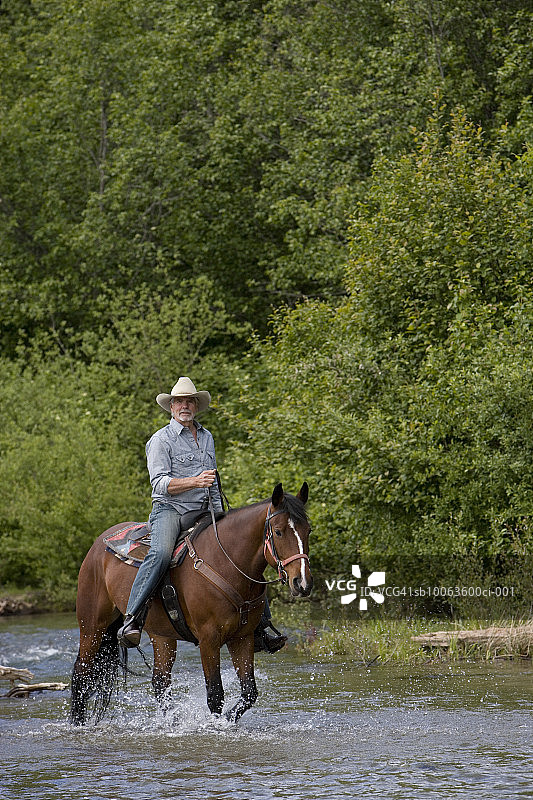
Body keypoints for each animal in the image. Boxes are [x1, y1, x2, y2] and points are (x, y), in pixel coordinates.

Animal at [69, 482, 312, 725]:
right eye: (278, 531)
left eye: (308, 530)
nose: (302, 582)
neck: (226, 563)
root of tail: (98, 544)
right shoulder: (209, 639)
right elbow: (215, 694)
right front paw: (215, 725)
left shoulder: (243, 637)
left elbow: (249, 692)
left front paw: (227, 720)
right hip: (92, 626)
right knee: (81, 673)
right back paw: (76, 723)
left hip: (161, 634)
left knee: (160, 682)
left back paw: (173, 722)